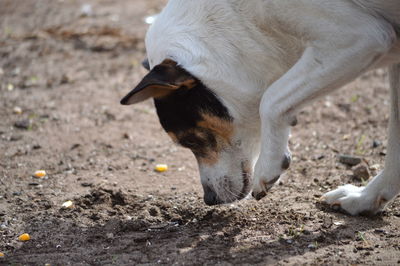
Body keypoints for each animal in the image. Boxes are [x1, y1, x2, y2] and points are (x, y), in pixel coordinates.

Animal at [122, 0, 400, 215]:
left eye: (190, 140)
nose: (209, 199)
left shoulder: (356, 38)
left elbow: (271, 99)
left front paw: (270, 166)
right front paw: (365, 199)